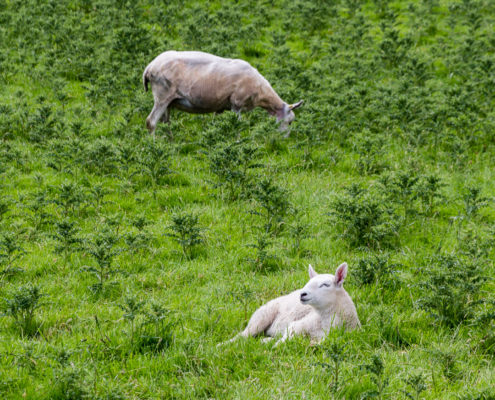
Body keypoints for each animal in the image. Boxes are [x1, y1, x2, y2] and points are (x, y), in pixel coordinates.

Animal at [225, 262, 360, 346]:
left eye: (325, 285)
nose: (302, 294)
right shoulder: (296, 325)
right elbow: (287, 337)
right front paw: (276, 347)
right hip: (261, 317)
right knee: (243, 335)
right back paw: (224, 344)